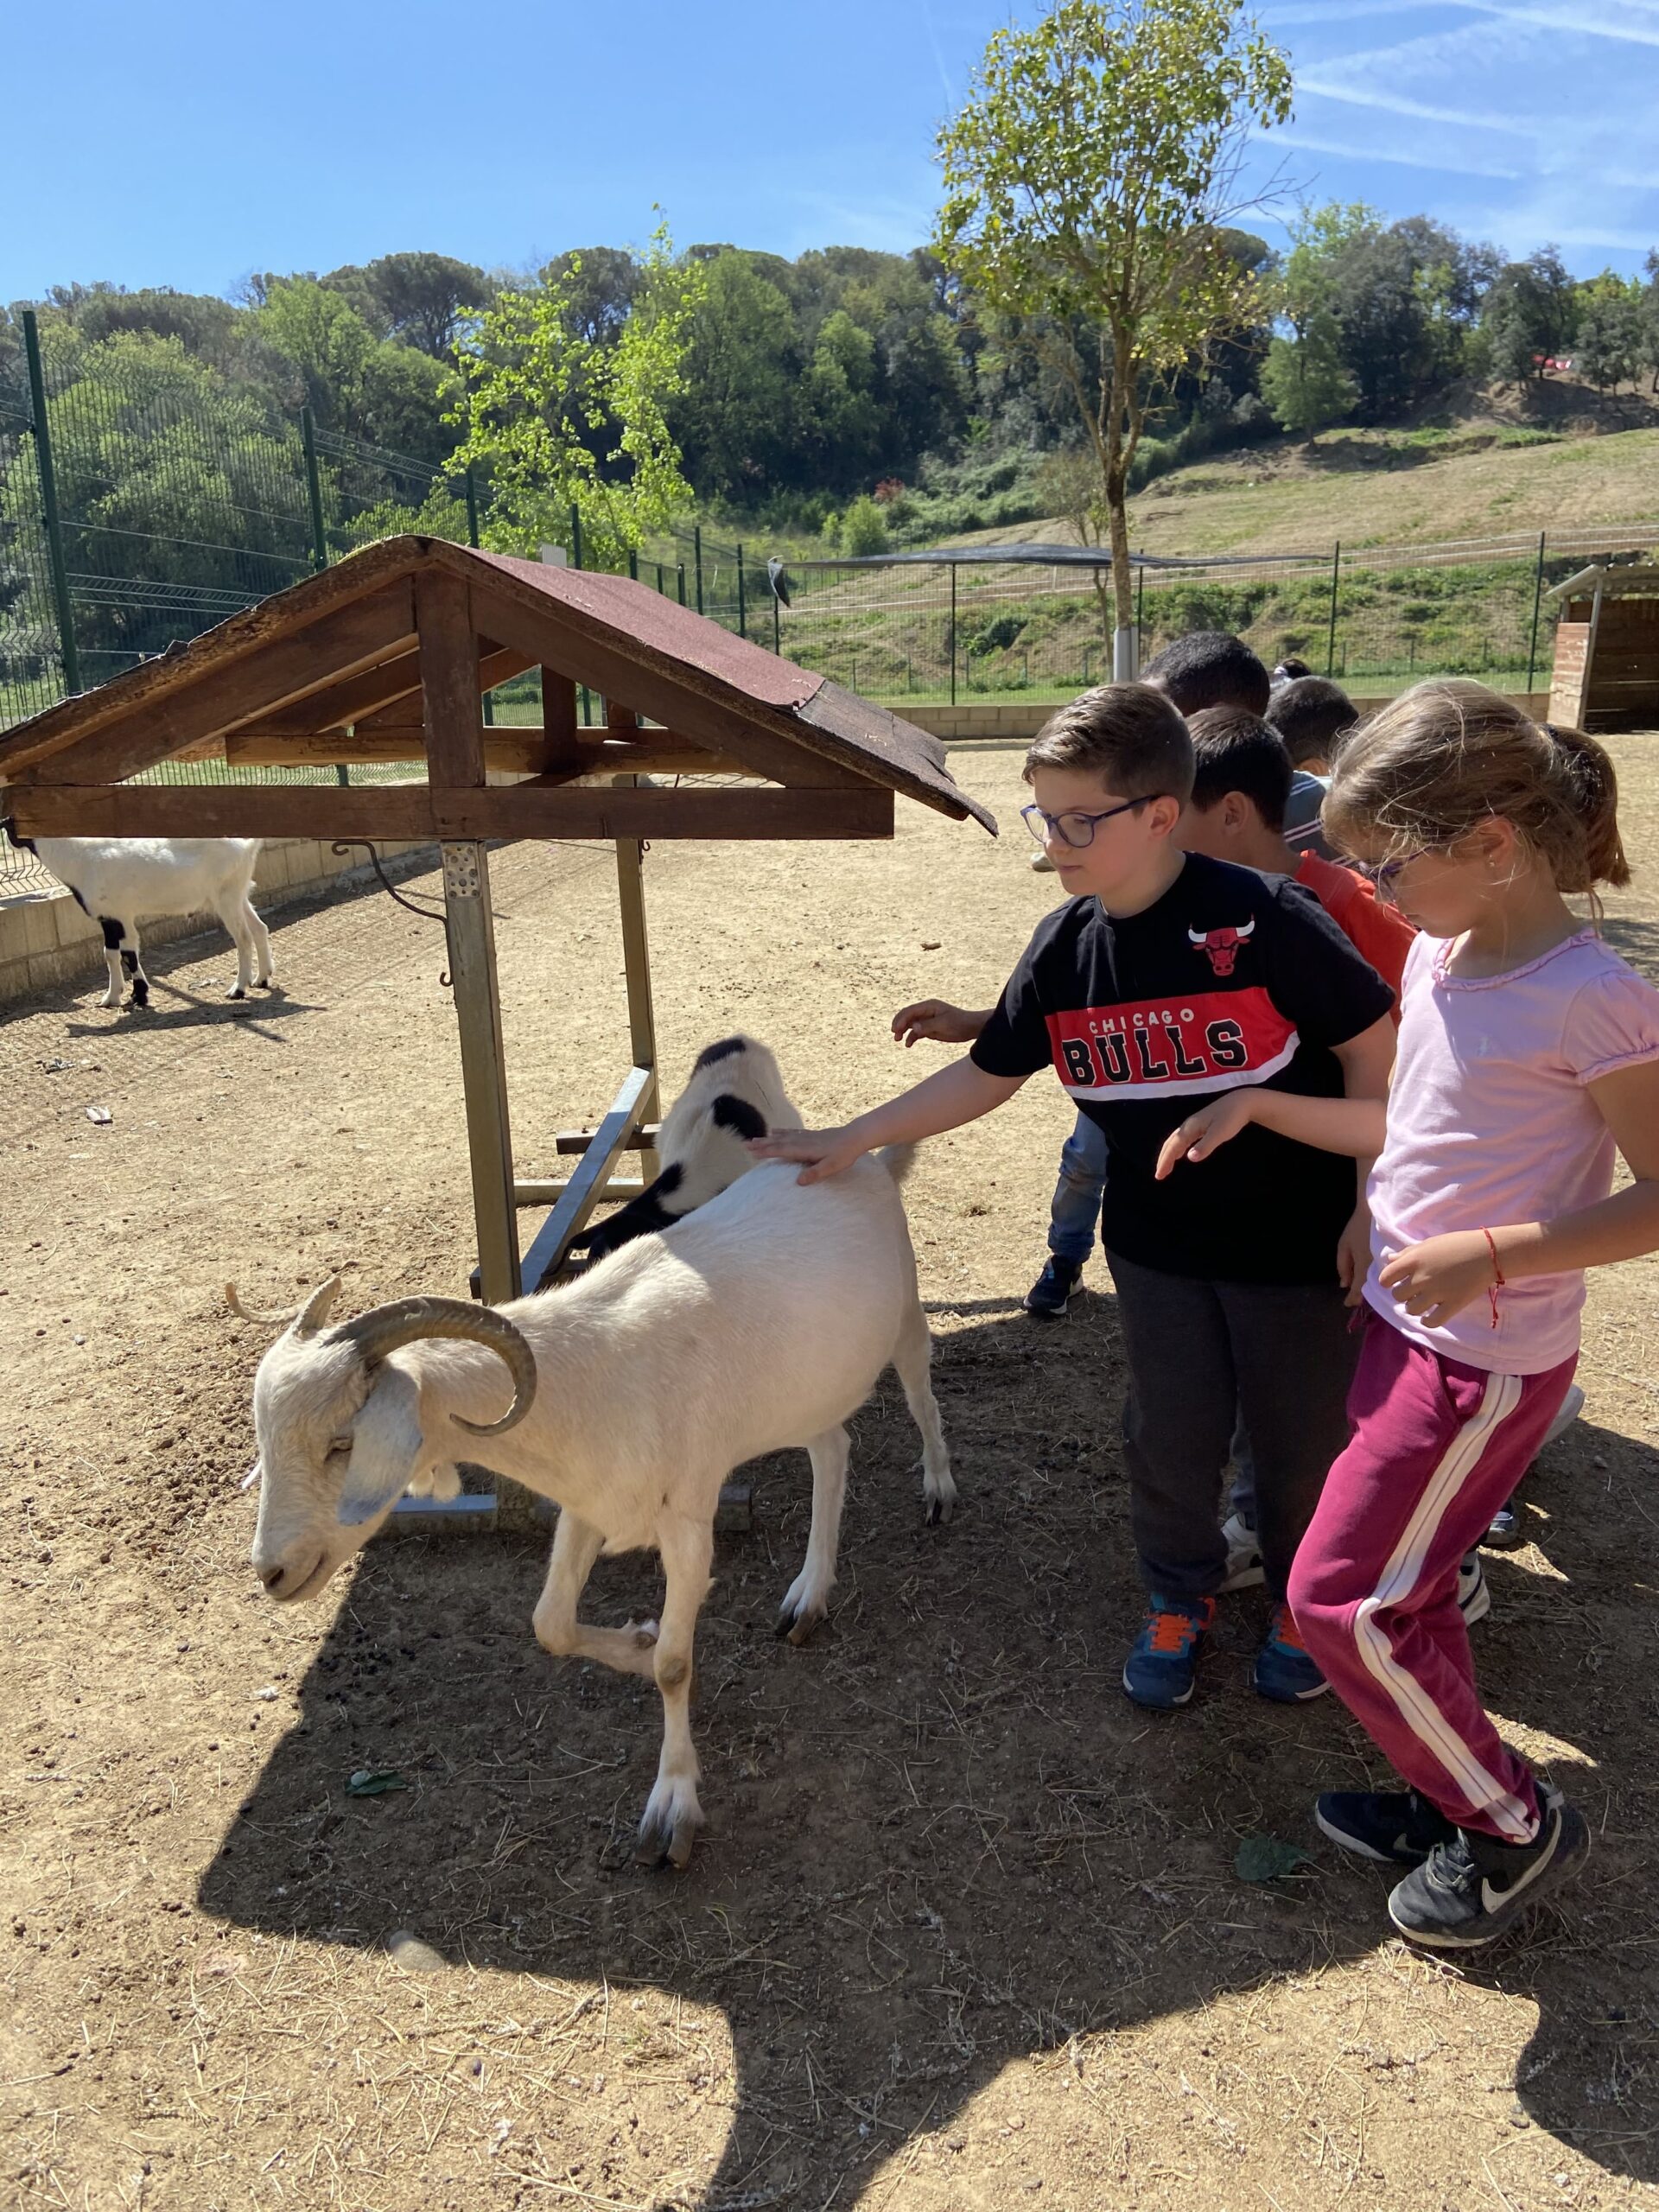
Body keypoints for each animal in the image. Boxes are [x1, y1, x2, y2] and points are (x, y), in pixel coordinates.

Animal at [4, 833, 273, 1008]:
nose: (8, 839)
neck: (78, 858)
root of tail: (247, 847)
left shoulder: (118, 914)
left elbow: (125, 954)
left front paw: (134, 996)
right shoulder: (111, 916)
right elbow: (114, 952)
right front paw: (119, 997)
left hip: (226, 896)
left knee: (243, 938)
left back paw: (238, 989)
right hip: (238, 894)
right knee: (259, 928)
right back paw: (262, 979)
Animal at [237, 1119, 956, 1869]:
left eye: (341, 1443)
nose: (272, 1572)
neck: (594, 1373)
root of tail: (868, 1160)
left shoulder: (689, 1517)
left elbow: (675, 1666)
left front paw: (672, 1808)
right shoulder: (587, 1504)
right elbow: (551, 1625)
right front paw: (637, 1640)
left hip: (905, 1315)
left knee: (920, 1393)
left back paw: (938, 1487)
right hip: (806, 1386)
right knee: (832, 1450)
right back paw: (808, 1596)